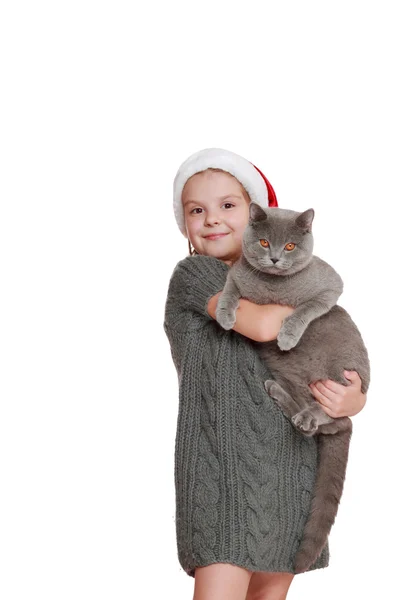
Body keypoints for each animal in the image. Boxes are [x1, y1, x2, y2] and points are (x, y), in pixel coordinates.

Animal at [216, 204, 368, 576]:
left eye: (289, 247)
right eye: (264, 241)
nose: (273, 258)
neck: (272, 290)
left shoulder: (330, 286)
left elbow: (306, 308)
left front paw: (287, 334)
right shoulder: (237, 276)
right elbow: (229, 287)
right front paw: (225, 314)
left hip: (342, 369)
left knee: (340, 420)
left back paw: (308, 416)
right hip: (290, 375)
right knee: (328, 424)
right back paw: (286, 402)